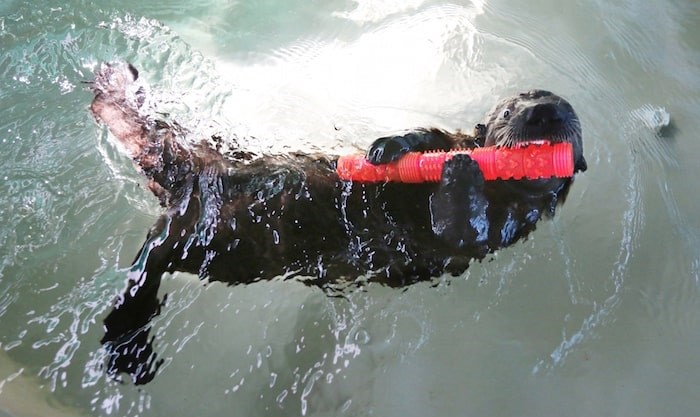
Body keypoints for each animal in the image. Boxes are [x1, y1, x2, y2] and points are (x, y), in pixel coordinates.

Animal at [90, 62, 588, 384]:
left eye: (572, 119)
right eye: (508, 110)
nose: (544, 111)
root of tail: (194, 176)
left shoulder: (505, 228)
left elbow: (464, 227)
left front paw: (462, 169)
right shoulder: (446, 137)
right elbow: (424, 138)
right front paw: (388, 148)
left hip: (218, 246)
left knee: (150, 264)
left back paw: (127, 350)